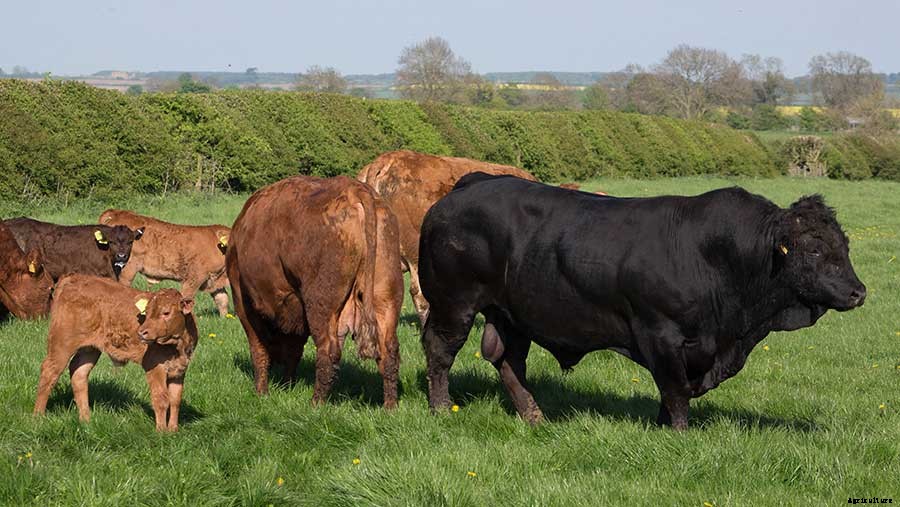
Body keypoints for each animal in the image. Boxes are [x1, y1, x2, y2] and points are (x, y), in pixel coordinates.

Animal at [33, 275, 197, 431]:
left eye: (166, 312)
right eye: (147, 313)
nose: (142, 332)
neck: (177, 347)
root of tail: (73, 278)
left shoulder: (180, 369)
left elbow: (175, 400)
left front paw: (173, 430)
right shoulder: (154, 367)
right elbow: (161, 399)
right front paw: (161, 431)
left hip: (89, 349)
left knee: (79, 373)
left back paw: (86, 419)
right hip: (62, 345)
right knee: (49, 373)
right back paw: (38, 417)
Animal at [99, 209, 231, 317]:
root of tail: (118, 212)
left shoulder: (214, 280)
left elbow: (223, 300)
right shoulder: (195, 278)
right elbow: (186, 299)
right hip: (127, 269)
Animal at [227, 175, 403, 408]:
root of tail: (355, 190)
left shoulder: (243, 303)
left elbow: (259, 350)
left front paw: (262, 392)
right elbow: (293, 351)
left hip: (320, 304)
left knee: (328, 351)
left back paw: (316, 403)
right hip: (385, 299)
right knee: (388, 352)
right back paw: (389, 406)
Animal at [419, 173, 866, 429]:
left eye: (844, 246)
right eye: (814, 250)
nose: (858, 292)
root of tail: (470, 184)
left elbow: (674, 392)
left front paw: (663, 429)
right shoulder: (660, 334)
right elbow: (676, 391)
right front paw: (680, 434)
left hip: (512, 314)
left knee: (508, 362)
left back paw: (535, 418)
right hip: (453, 304)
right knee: (440, 351)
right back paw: (441, 409)